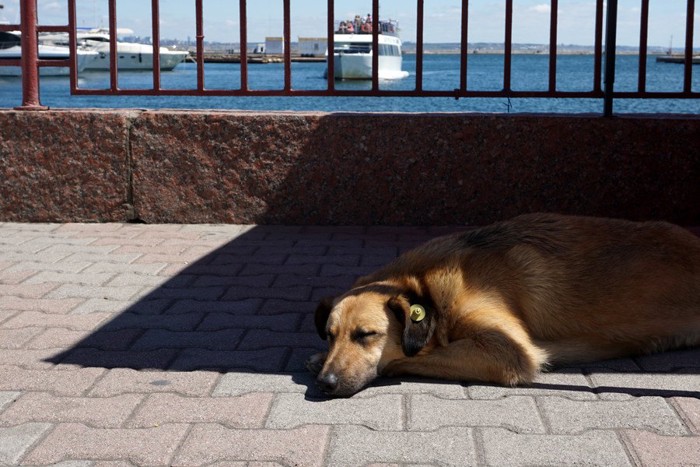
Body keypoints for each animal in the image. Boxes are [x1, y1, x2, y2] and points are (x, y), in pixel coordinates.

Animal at [308, 214, 700, 396]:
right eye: (329, 335)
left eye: (366, 335)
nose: (325, 383)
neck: (426, 286)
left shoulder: (507, 351)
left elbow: (411, 355)